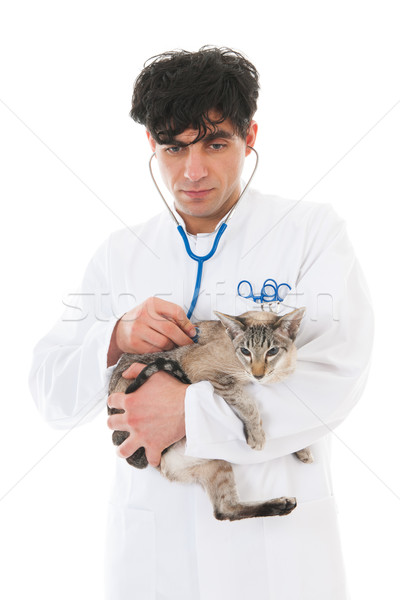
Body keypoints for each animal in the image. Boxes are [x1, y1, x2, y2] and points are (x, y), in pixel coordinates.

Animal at [107, 310, 312, 520]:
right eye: (245, 351)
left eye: (272, 351)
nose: (258, 375)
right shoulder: (209, 373)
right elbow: (246, 402)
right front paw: (257, 435)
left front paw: (303, 449)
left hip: (217, 463)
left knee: (225, 509)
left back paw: (282, 505)